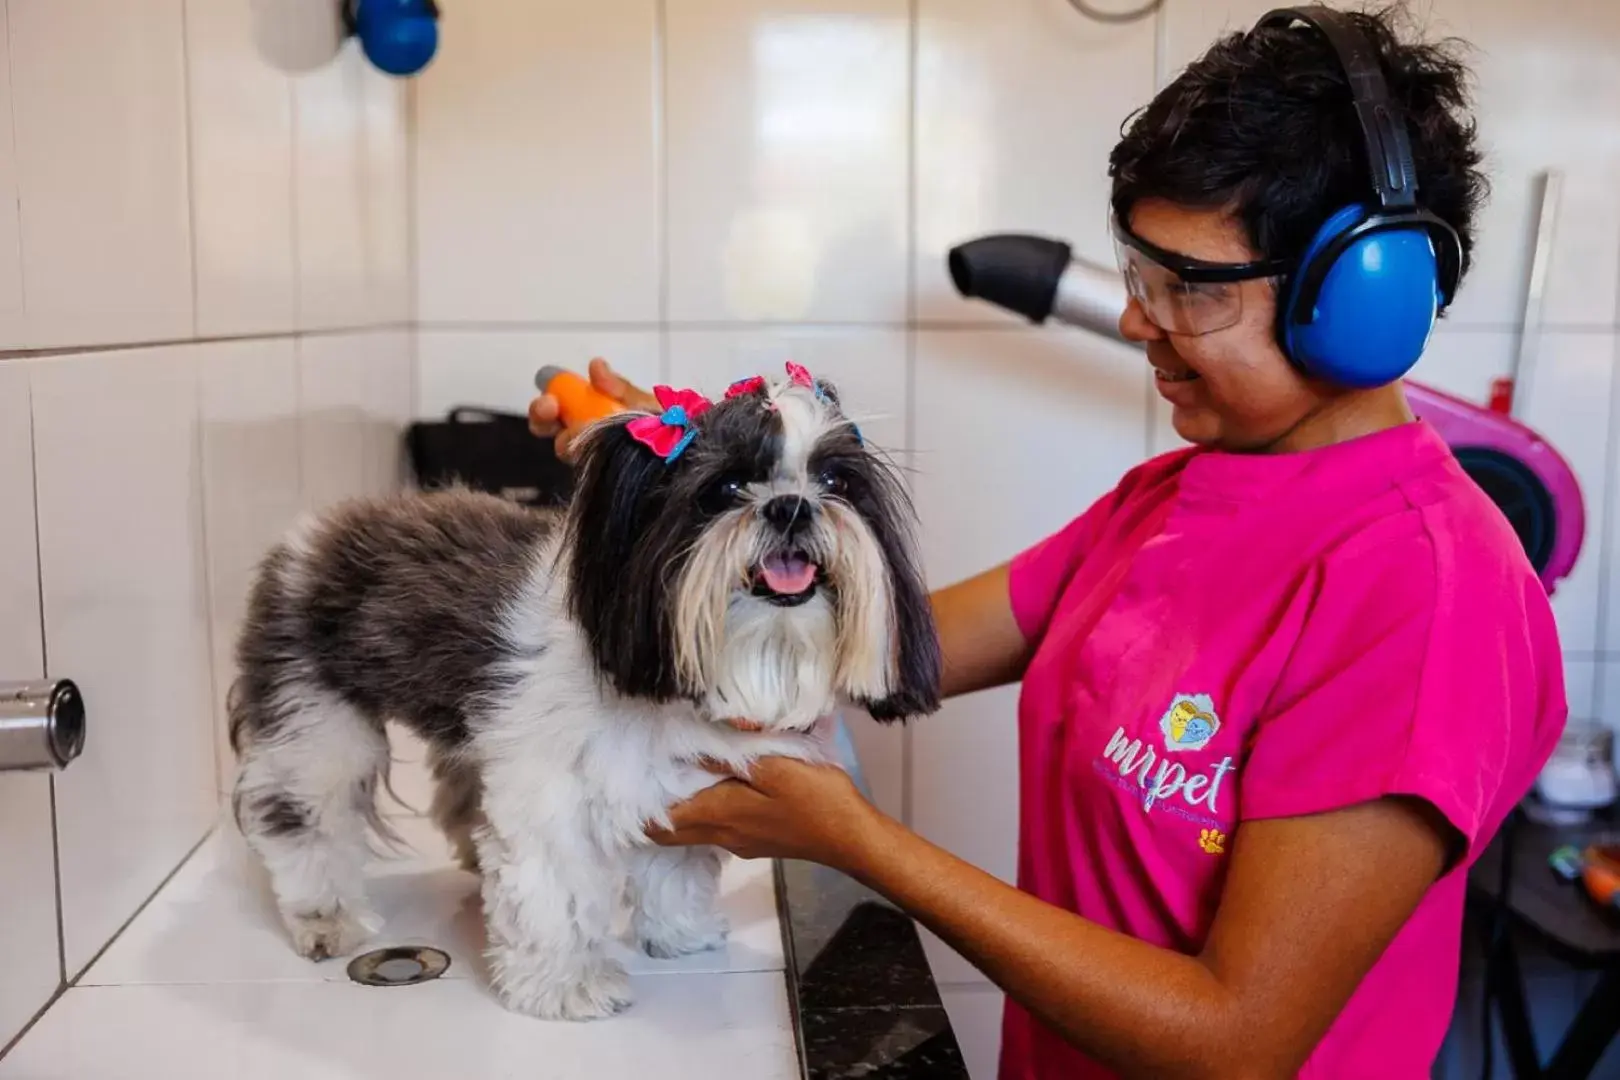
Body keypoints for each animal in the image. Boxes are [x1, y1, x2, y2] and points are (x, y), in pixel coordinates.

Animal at [226, 362, 939, 1023]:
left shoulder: (673, 787)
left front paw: (679, 935)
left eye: (835, 483)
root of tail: (312, 534)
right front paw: (567, 986)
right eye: (726, 488)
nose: (790, 505)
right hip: (314, 714)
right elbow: (556, 891)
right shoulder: (548, 797)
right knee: (303, 816)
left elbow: (675, 869)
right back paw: (326, 915)